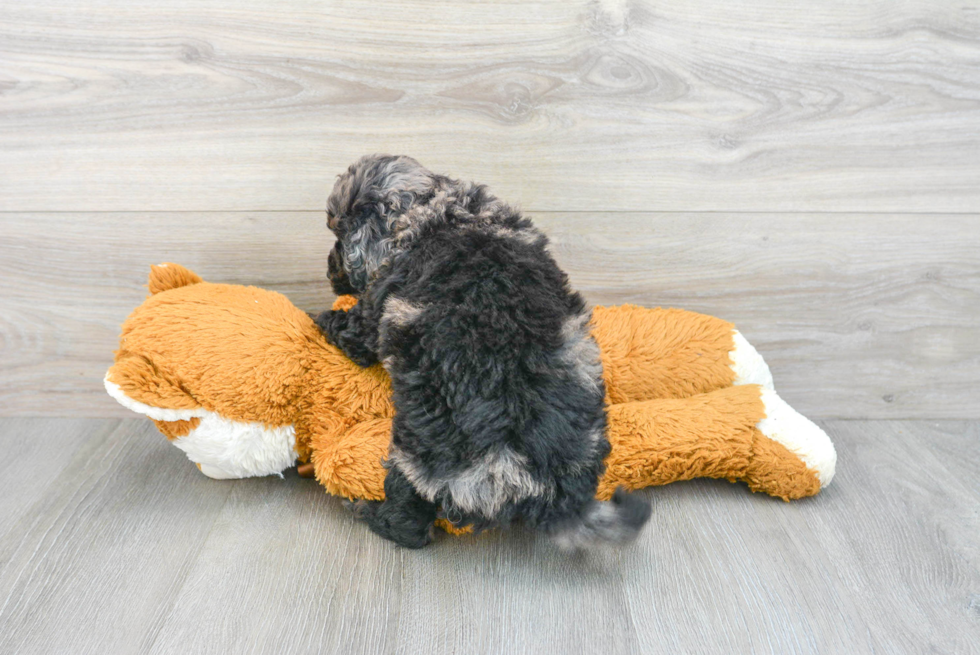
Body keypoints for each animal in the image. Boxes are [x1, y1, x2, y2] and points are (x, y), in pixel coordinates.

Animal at [316, 154, 652, 548]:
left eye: (338, 236)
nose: (329, 270)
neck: (438, 211)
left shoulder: (374, 310)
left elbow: (353, 329)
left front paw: (321, 318)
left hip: (417, 455)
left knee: (409, 521)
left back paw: (365, 512)